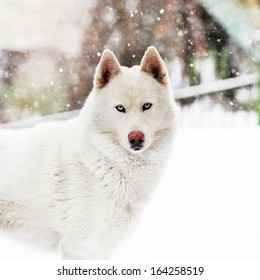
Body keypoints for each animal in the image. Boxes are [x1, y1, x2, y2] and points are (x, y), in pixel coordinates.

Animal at [0, 47, 177, 260]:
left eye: (147, 106)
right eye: (120, 108)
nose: (136, 138)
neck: (104, 162)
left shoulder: (103, 249)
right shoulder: (78, 247)